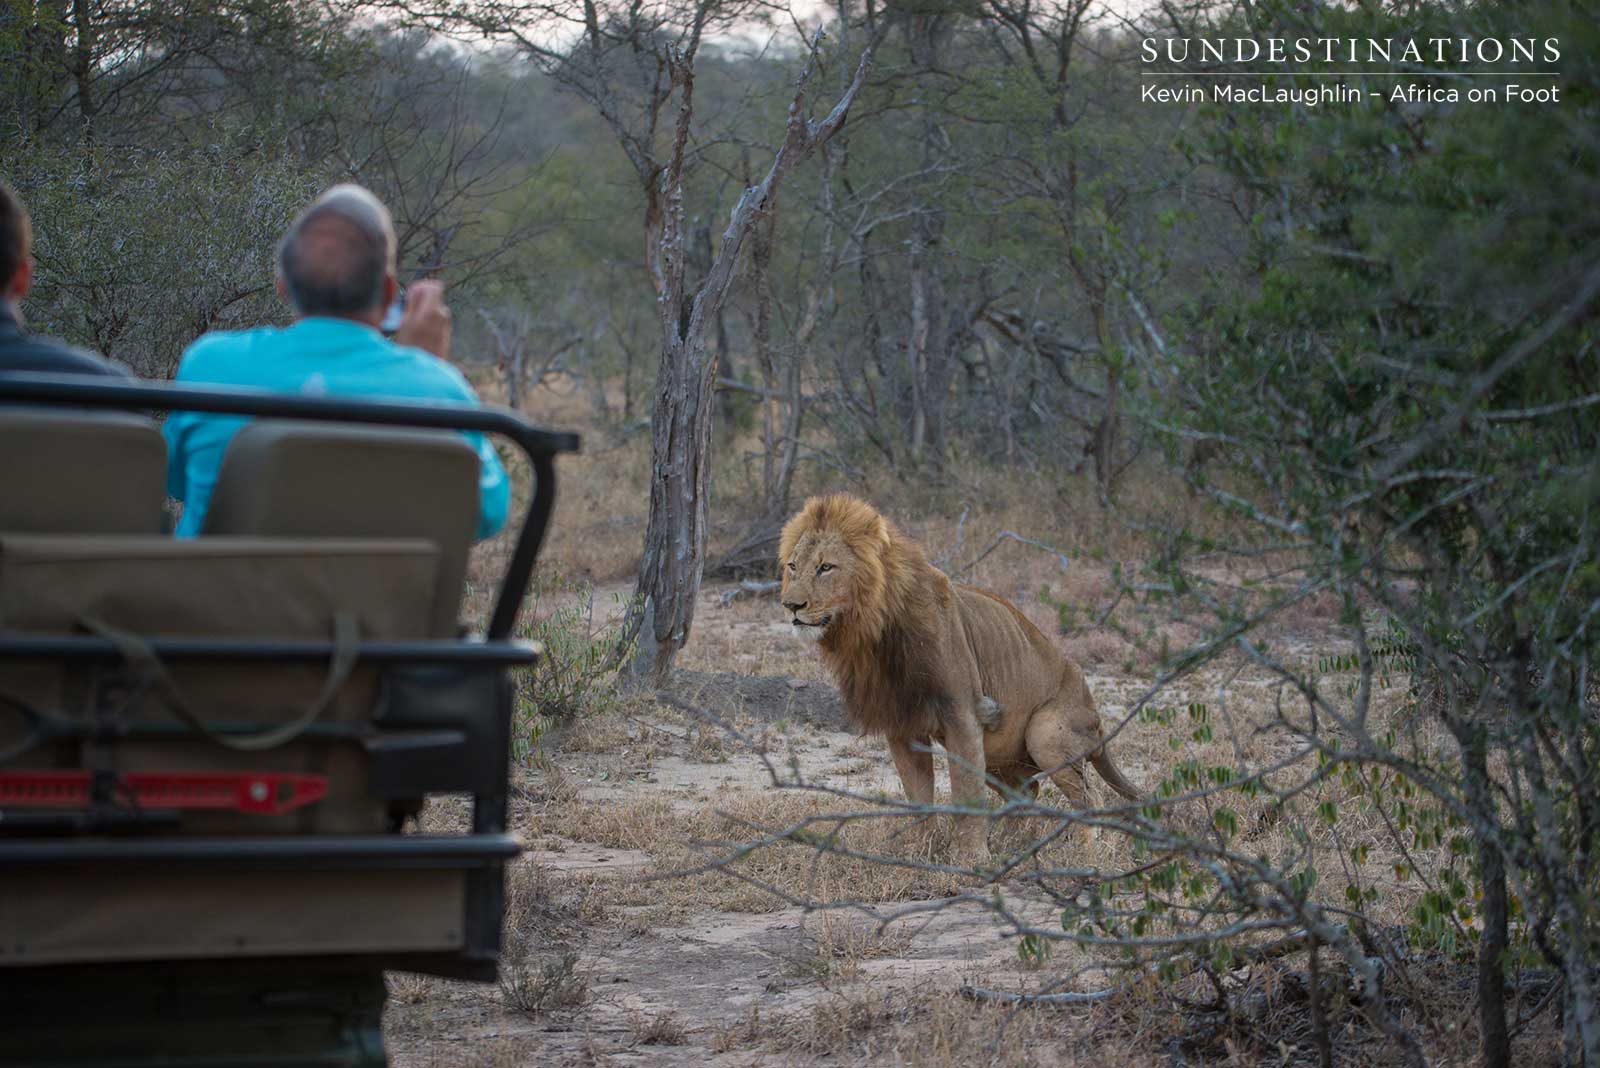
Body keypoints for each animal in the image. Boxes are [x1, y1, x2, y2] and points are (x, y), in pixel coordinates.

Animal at [778, 493, 1141, 864]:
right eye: (793, 566)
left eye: (826, 567)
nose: (791, 605)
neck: (873, 632)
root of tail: (1096, 714)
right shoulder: (901, 722)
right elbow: (917, 791)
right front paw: (919, 849)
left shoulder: (963, 713)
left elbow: (966, 791)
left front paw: (970, 857)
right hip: (999, 752)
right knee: (1029, 790)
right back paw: (1012, 842)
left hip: (1046, 732)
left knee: (1089, 797)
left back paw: (1089, 853)